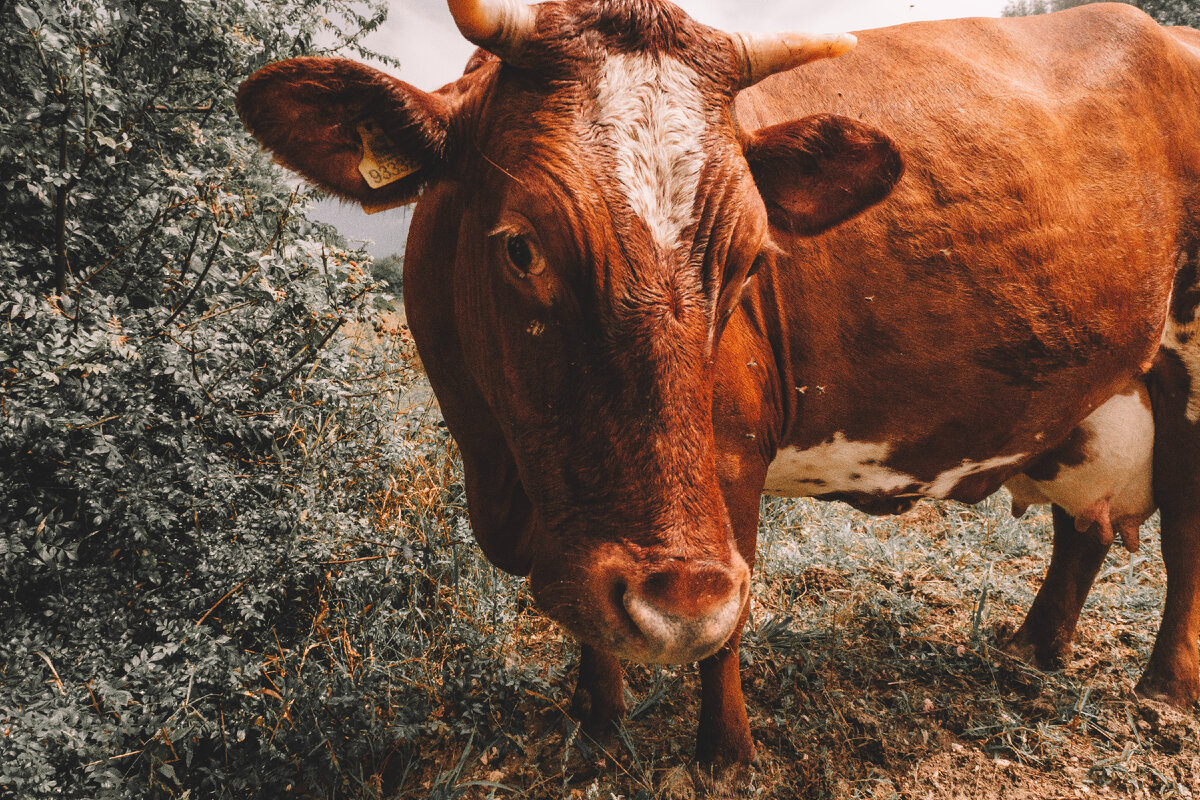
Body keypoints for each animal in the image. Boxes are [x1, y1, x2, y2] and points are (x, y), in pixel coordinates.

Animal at [237, 0, 1200, 764]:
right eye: (521, 247)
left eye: (747, 261)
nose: (676, 595)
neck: (499, 465)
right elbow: (599, 620)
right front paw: (596, 723)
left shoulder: (729, 461)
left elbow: (726, 619)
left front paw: (725, 752)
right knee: (1082, 530)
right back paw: (1032, 649)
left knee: (1185, 533)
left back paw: (1166, 686)